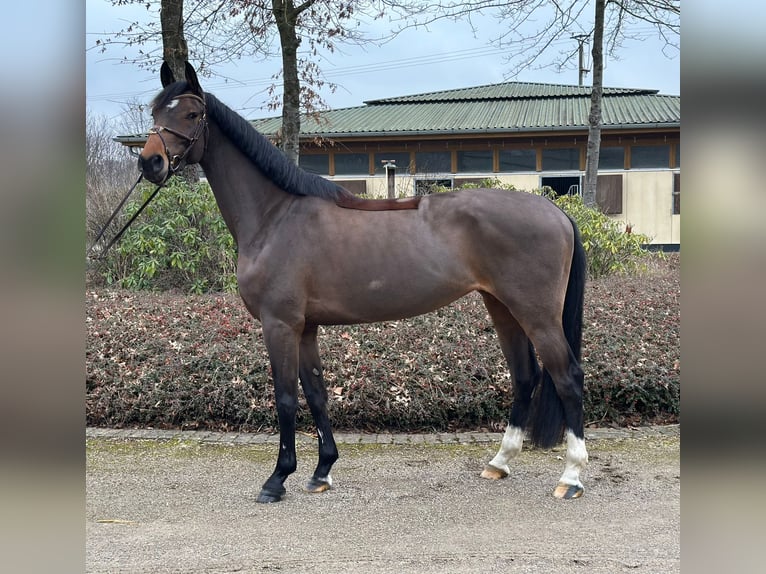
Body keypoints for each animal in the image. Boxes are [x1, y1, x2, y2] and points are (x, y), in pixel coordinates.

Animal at [137, 62, 588, 503]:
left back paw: (572, 476)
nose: (150, 163)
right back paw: (500, 462)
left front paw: (277, 478)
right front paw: (321, 471)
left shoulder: (279, 324)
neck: (275, 216)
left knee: (567, 377)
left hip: (537, 314)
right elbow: (316, 394)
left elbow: (285, 398)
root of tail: (556, 212)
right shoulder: (306, 328)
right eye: (155, 111)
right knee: (525, 376)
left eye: (191, 114)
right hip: (502, 307)